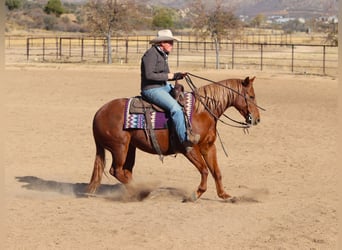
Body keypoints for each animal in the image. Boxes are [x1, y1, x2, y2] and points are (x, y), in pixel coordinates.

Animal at [87, 74, 260, 201]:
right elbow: (204, 170)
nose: (257, 119)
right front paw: (196, 194)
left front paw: (224, 195)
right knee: (116, 170)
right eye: (251, 96)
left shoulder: (208, 147)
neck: (201, 112)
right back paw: (141, 192)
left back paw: (139, 191)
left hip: (130, 148)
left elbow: (216, 171)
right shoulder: (189, 148)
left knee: (126, 171)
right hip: (119, 148)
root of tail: (98, 113)